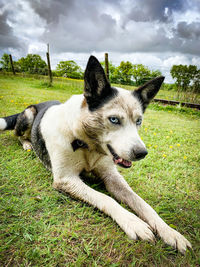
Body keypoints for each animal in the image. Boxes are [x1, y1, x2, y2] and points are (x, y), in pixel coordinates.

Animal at [0, 56, 191, 253]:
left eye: (138, 121)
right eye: (114, 119)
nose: (142, 153)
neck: (88, 145)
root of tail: (40, 104)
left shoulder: (111, 176)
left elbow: (142, 203)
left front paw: (169, 231)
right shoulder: (66, 179)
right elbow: (107, 198)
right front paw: (133, 222)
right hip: (29, 115)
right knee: (17, 135)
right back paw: (27, 143)